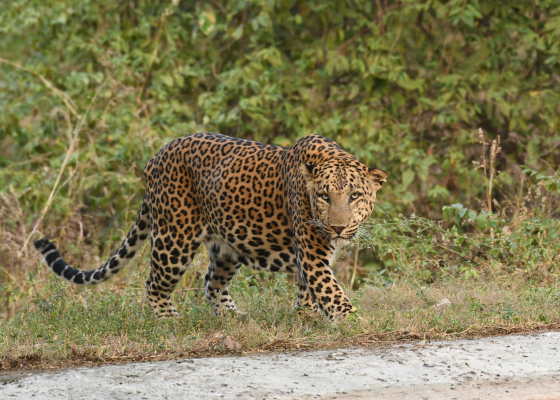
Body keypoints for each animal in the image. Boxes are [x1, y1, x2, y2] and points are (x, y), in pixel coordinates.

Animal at [32, 133, 388, 320]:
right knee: (154, 283)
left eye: (355, 196)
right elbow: (330, 289)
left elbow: (310, 290)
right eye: (325, 197)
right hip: (174, 238)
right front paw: (354, 321)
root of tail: (155, 157)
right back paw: (169, 321)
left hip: (227, 247)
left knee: (211, 283)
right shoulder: (313, 255)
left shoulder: (310, 257)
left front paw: (306, 317)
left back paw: (234, 317)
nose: (338, 228)